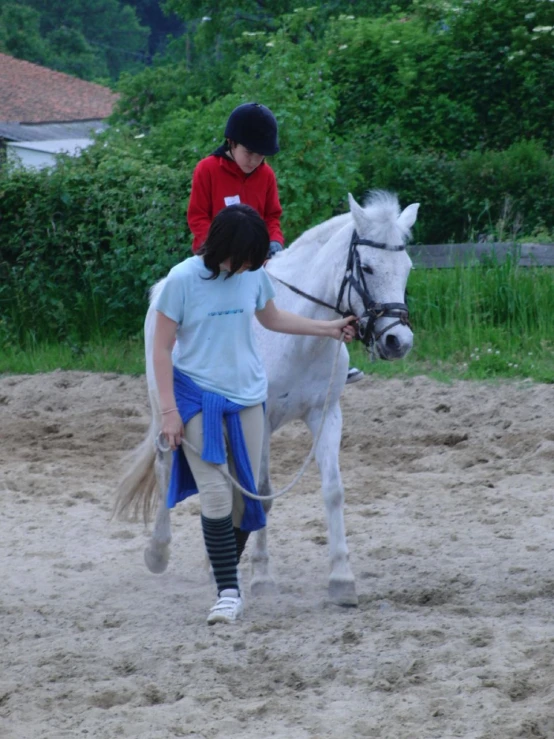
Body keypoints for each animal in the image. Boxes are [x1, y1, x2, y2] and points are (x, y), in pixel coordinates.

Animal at [114, 191, 416, 608]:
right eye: (368, 268)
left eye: (407, 268)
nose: (397, 341)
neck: (301, 337)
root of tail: (161, 288)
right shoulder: (262, 417)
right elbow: (261, 493)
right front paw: (261, 577)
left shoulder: (326, 413)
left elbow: (333, 490)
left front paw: (341, 579)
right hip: (167, 407)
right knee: (165, 464)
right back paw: (158, 551)